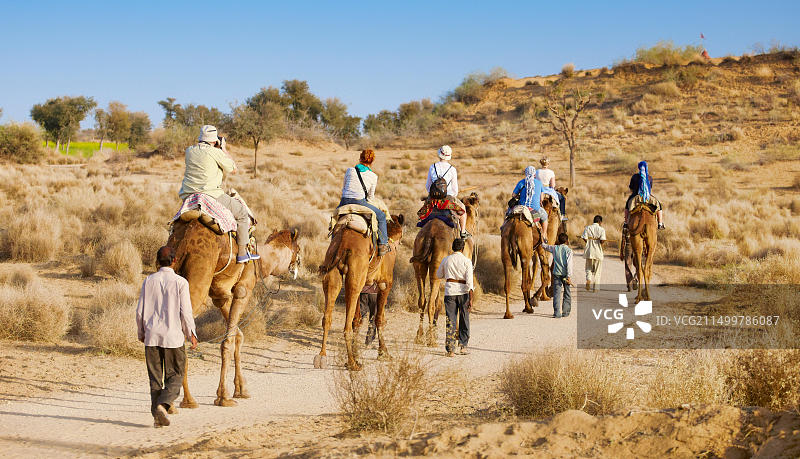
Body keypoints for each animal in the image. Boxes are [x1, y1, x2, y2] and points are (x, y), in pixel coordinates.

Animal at [166, 221, 300, 408]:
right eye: (299, 248)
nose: (297, 265)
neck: (262, 262)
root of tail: (184, 237)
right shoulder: (243, 290)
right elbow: (227, 341)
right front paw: (224, 397)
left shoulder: (220, 296)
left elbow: (238, 335)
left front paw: (241, 389)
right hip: (198, 275)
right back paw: (187, 400)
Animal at [316, 214, 406, 372]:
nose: (398, 244)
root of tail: (343, 242)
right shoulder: (385, 284)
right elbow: (379, 319)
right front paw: (383, 352)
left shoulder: (363, 287)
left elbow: (357, 320)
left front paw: (357, 352)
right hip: (355, 273)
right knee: (346, 326)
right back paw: (352, 363)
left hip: (335, 273)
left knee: (327, 318)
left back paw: (322, 357)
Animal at [410, 192, 478, 346]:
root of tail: (429, 235)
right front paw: (456, 334)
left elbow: (440, 302)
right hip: (436, 269)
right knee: (430, 303)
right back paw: (431, 340)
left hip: (419, 264)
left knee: (422, 300)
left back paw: (419, 336)